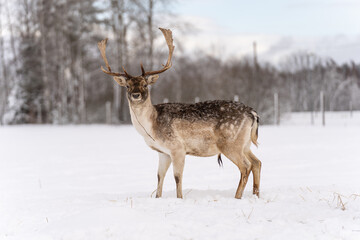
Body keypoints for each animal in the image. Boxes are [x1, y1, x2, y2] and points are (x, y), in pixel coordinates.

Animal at [97, 27, 262, 199]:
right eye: (128, 86)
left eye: (145, 84)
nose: (136, 95)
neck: (151, 127)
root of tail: (252, 113)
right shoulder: (163, 152)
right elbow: (159, 176)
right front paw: (158, 198)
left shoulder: (177, 148)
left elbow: (177, 177)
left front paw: (180, 198)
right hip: (245, 143)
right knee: (257, 162)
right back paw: (256, 195)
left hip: (230, 143)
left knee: (245, 166)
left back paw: (237, 197)